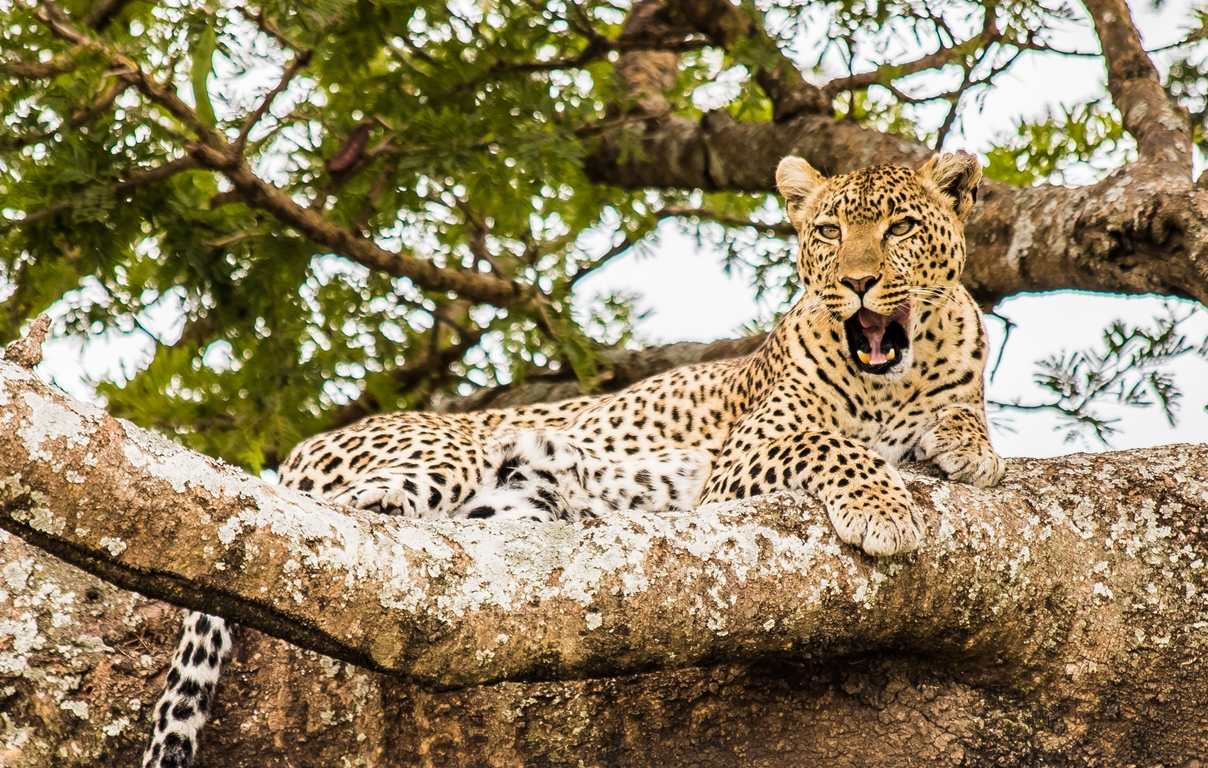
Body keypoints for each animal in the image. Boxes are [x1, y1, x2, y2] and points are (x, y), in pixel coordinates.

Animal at [141, 152, 1005, 763]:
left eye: (900, 229)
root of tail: (301, 448)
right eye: (828, 232)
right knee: (339, 535)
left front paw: (969, 447)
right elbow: (836, 444)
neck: (896, 379)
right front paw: (886, 507)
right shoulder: (747, 451)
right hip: (439, 456)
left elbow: (965, 417)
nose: (858, 282)